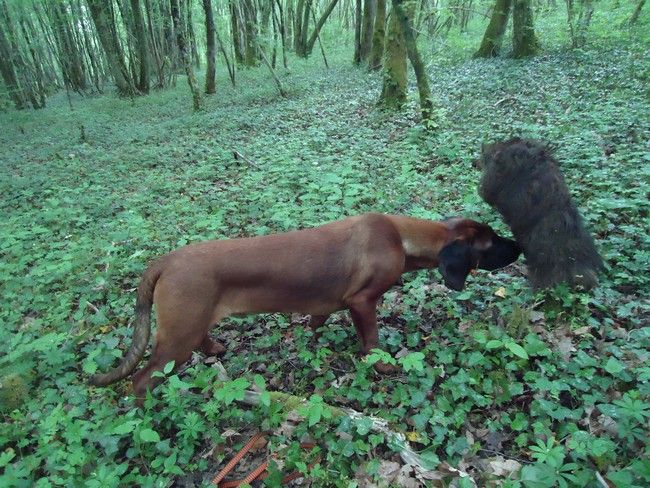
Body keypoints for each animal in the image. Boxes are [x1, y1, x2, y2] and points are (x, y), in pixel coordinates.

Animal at [90, 214, 516, 400]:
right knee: (141, 379)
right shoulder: (363, 301)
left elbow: (317, 319)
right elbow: (372, 340)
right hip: (177, 337)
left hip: (190, 325)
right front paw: (380, 365)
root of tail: (164, 261)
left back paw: (214, 349)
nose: (519, 246)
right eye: (493, 241)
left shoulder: (334, 304)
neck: (402, 236)